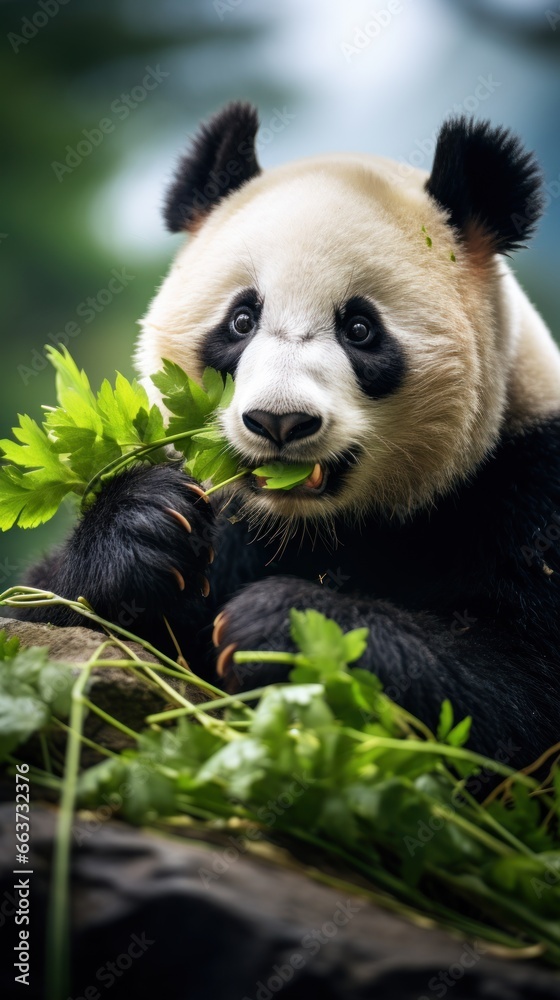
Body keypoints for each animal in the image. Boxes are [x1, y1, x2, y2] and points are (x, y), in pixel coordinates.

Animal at [21, 103, 560, 764]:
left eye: (360, 329)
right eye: (241, 320)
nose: (279, 420)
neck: (306, 529)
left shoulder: (530, 481)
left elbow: (515, 687)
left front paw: (280, 627)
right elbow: (46, 615)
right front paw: (143, 527)